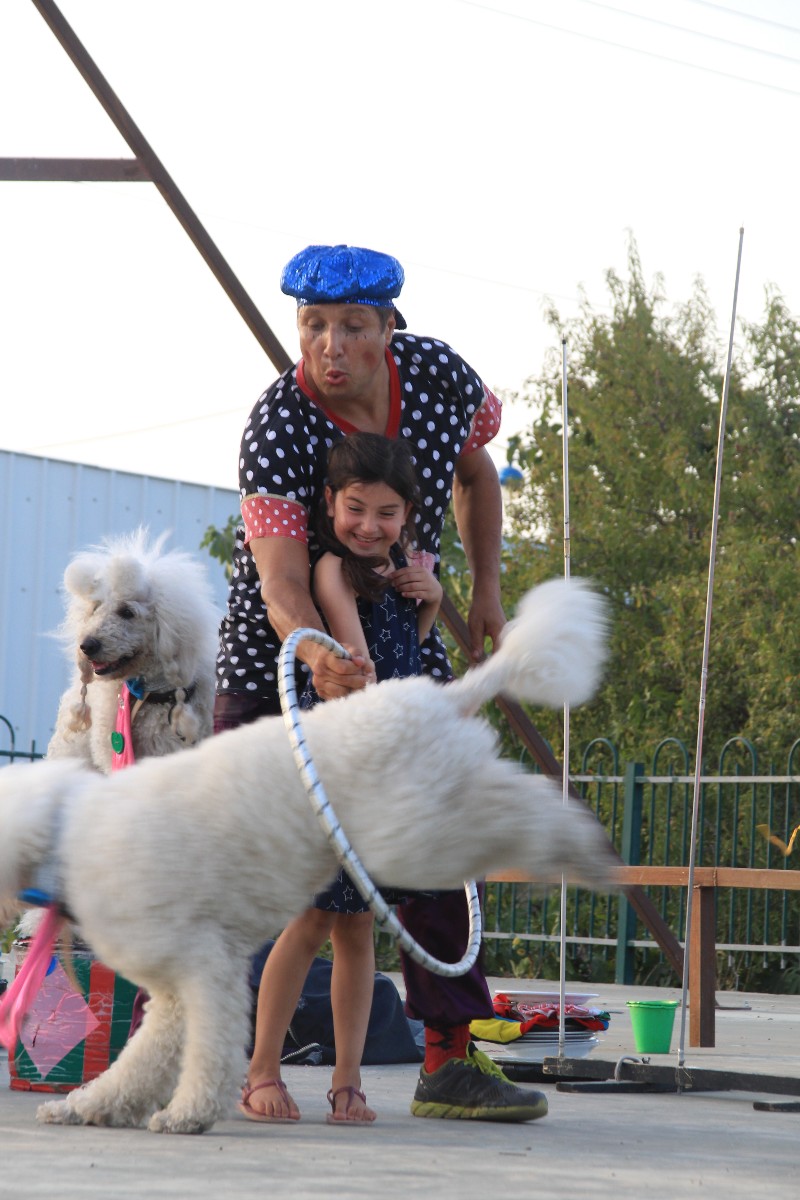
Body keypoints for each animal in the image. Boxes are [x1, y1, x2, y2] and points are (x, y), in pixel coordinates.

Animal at [0, 578, 618, 1132]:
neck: (68, 832)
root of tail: (436, 697)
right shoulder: (177, 989)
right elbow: (141, 1062)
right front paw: (87, 1107)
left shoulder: (206, 969)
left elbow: (207, 1052)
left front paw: (188, 1113)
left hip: (414, 835)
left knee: (522, 812)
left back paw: (581, 848)